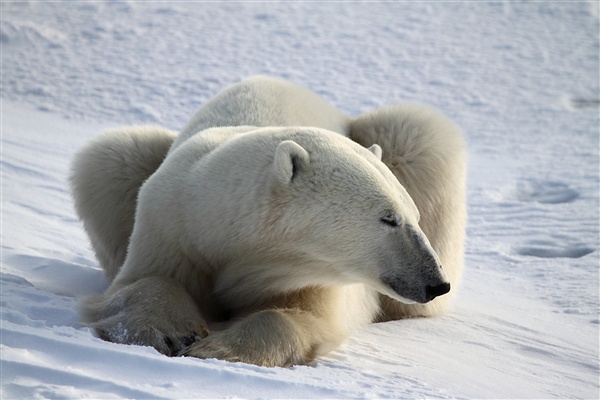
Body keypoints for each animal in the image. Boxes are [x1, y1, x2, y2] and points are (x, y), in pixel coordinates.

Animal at [69, 75, 464, 366]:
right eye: (388, 218)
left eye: (413, 216)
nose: (435, 282)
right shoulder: (173, 223)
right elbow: (142, 281)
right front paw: (172, 332)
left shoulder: (309, 273)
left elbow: (301, 317)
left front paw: (215, 348)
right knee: (110, 157)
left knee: (419, 132)